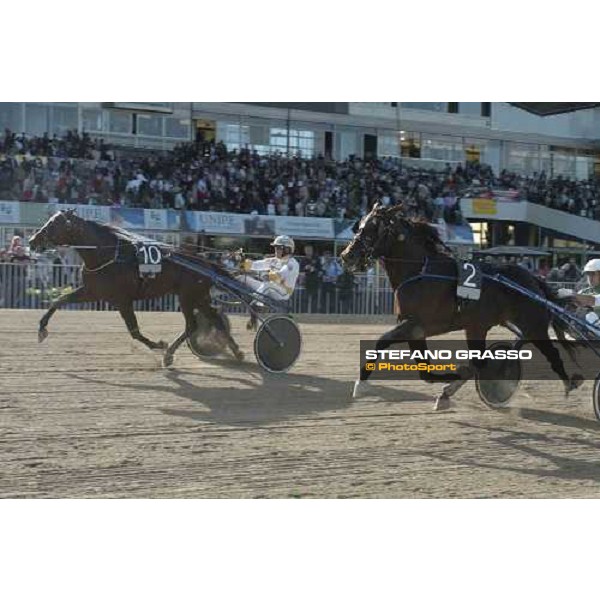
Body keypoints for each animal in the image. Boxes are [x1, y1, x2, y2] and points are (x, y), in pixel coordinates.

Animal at [29, 209, 245, 366]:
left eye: (53, 225)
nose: (32, 241)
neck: (108, 256)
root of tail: (206, 262)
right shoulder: (91, 291)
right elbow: (59, 300)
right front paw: (42, 329)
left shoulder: (122, 300)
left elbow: (134, 331)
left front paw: (159, 344)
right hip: (199, 297)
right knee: (215, 319)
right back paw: (237, 351)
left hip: (187, 296)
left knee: (192, 325)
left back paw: (169, 354)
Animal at [342, 204, 580, 410]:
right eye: (360, 225)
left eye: (372, 228)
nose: (347, 255)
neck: (420, 272)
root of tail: (534, 279)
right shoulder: (415, 329)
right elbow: (424, 371)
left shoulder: (417, 324)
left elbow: (382, 341)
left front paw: (361, 384)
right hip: (480, 326)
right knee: (489, 357)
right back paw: (452, 391)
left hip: (532, 324)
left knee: (549, 353)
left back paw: (570, 382)